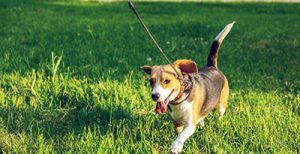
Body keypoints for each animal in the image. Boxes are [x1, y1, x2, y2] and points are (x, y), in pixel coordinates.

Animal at [142, 21, 236, 153]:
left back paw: (218, 123)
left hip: (221, 105)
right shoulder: (176, 122)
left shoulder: (190, 125)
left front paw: (176, 146)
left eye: (167, 80)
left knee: (220, 114)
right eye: (151, 81)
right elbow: (179, 132)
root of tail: (212, 66)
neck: (180, 99)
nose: (154, 96)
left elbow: (182, 135)